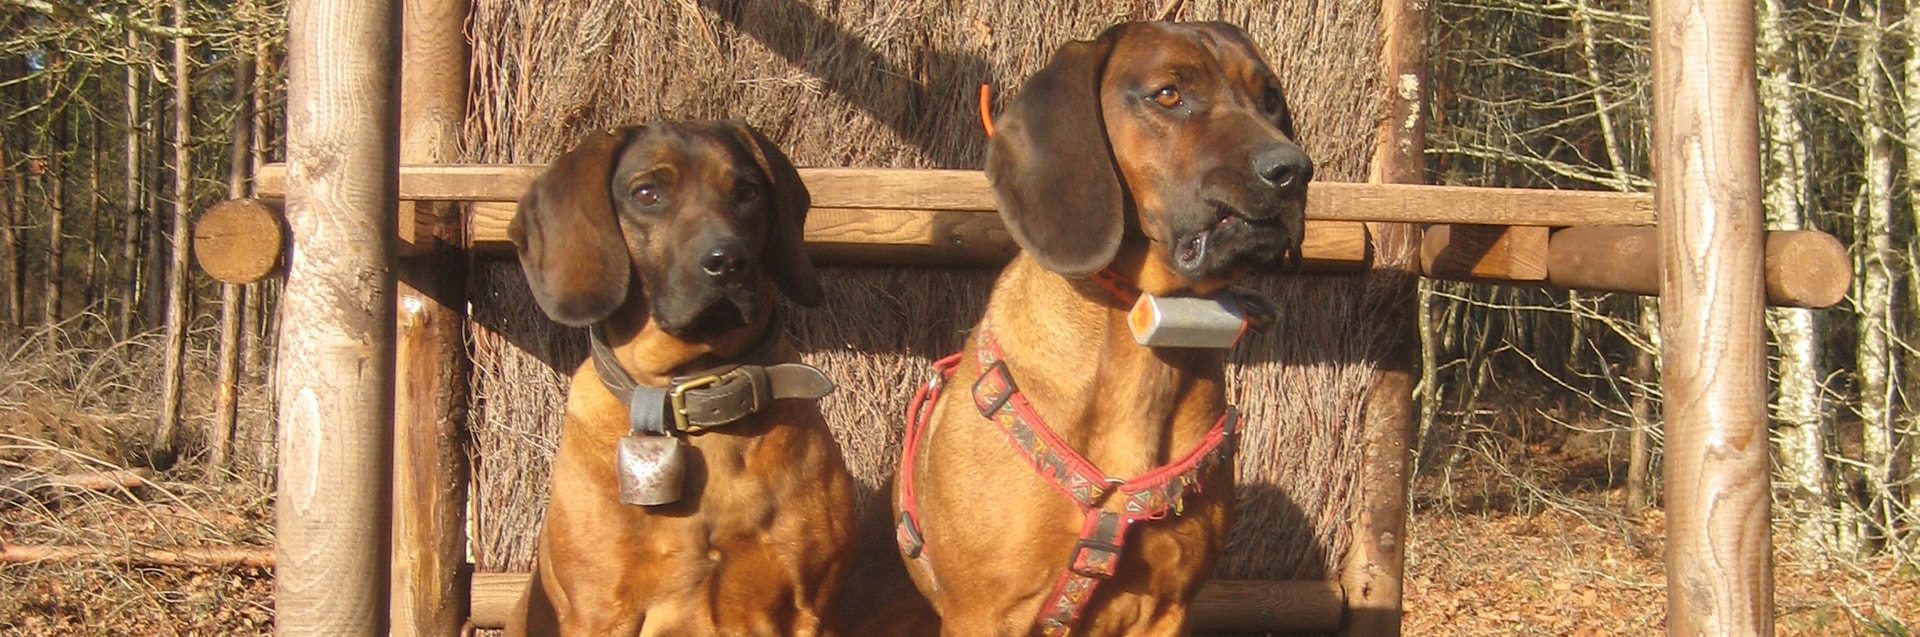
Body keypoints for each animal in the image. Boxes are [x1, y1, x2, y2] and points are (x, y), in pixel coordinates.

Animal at [506, 120, 852, 637]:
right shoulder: (600, 612)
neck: (697, 386)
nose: (727, 261)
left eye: (747, 191)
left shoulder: (814, 612)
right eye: (647, 193)